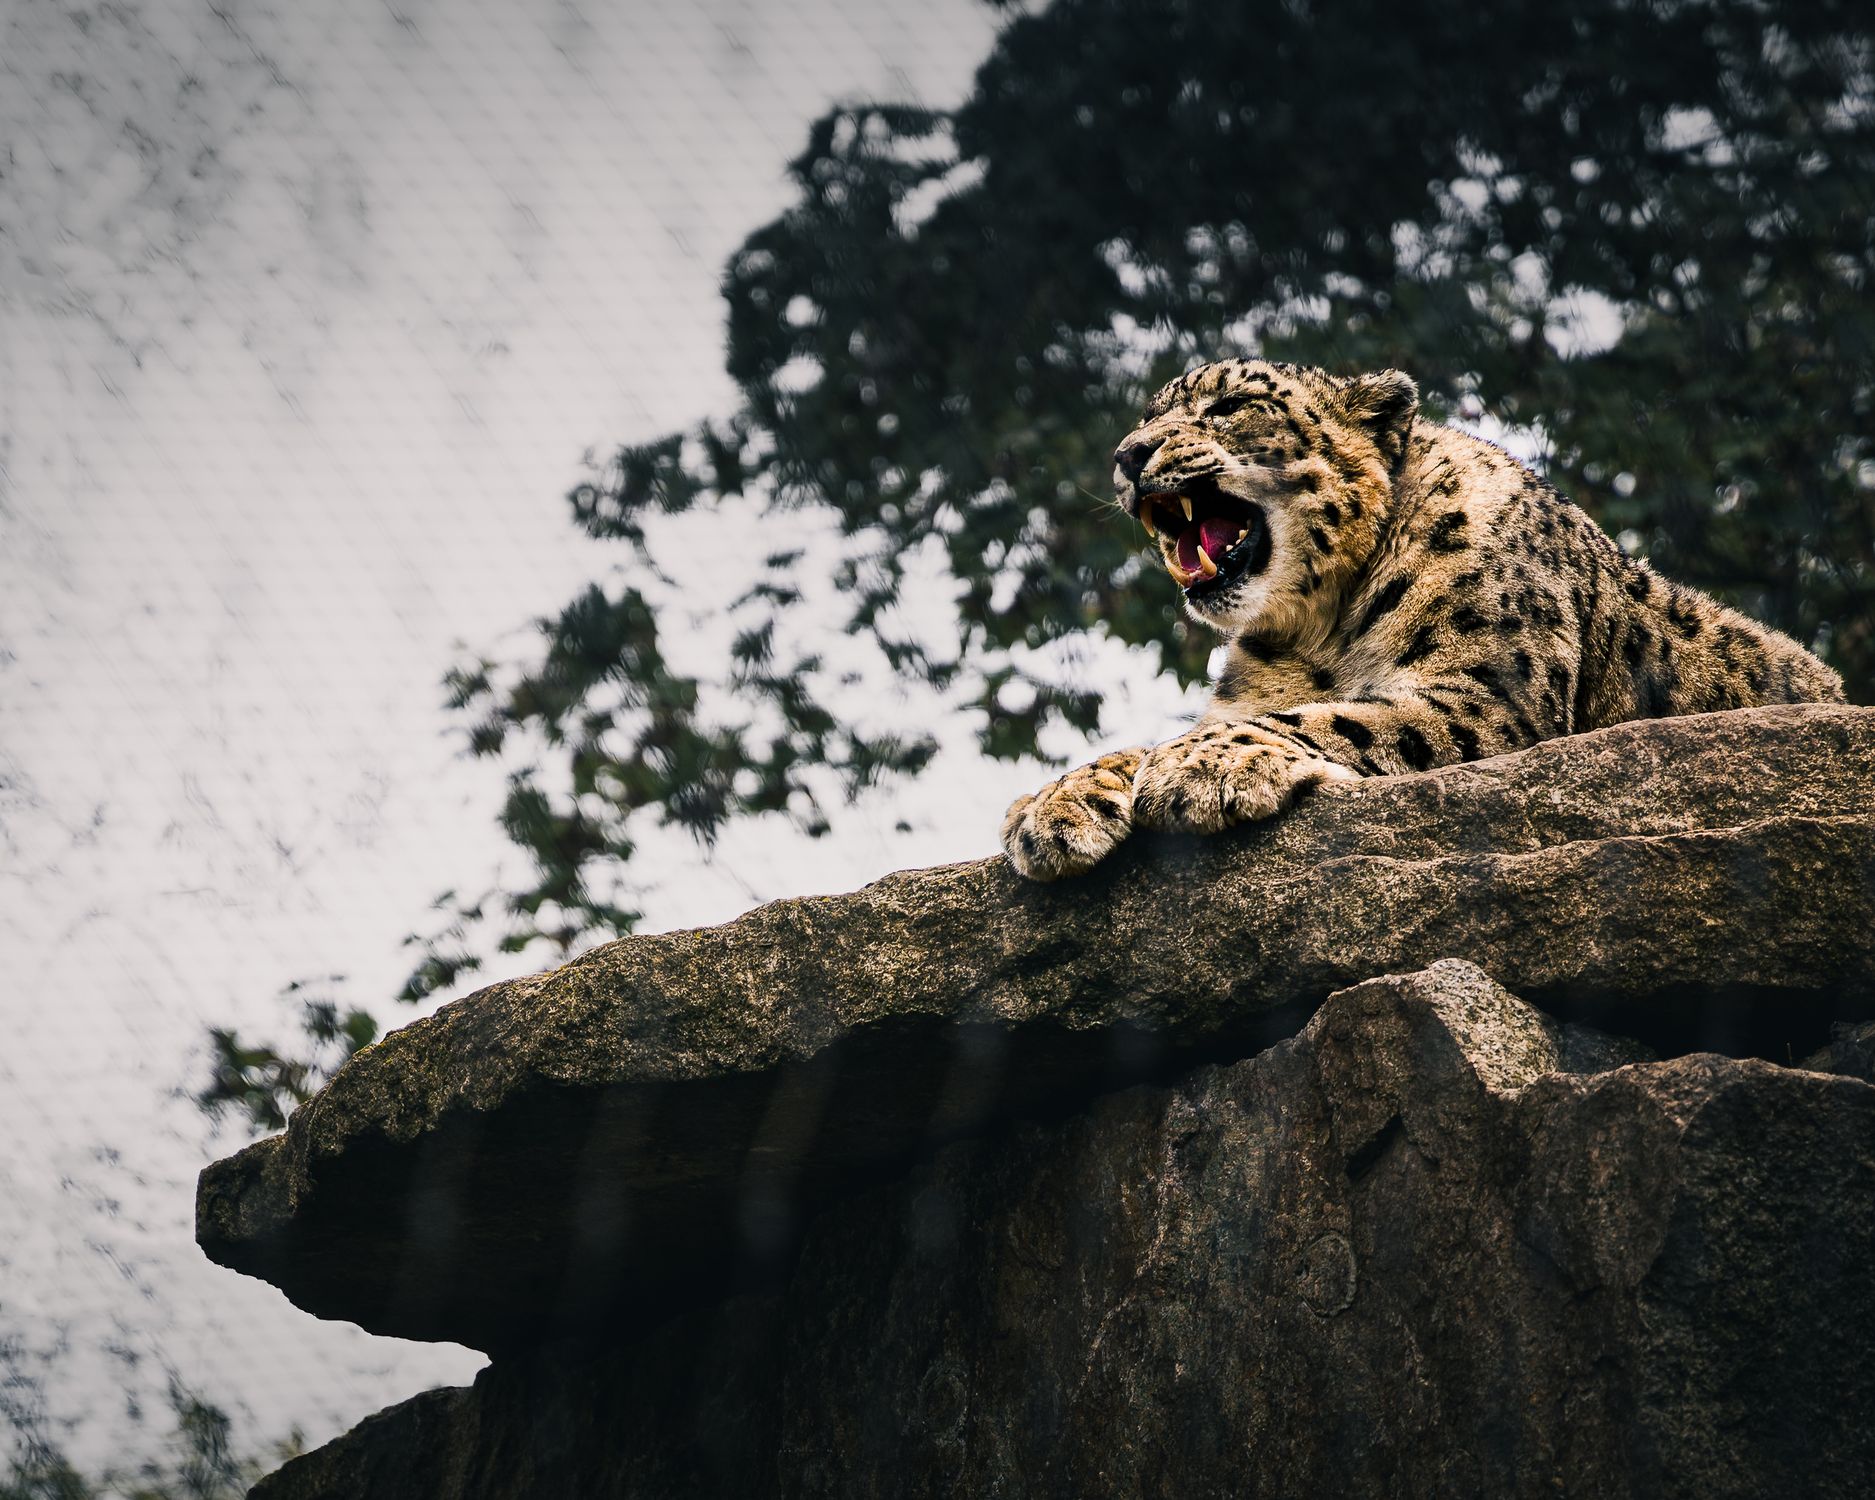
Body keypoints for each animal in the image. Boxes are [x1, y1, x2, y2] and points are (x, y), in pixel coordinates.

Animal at [1002, 358, 1846, 880]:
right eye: (1147, 418)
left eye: (1232, 406)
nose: (1127, 454)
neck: (1319, 628)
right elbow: (1147, 743)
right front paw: (1051, 806)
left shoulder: (1484, 693)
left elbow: (1335, 718)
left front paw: (1200, 768)